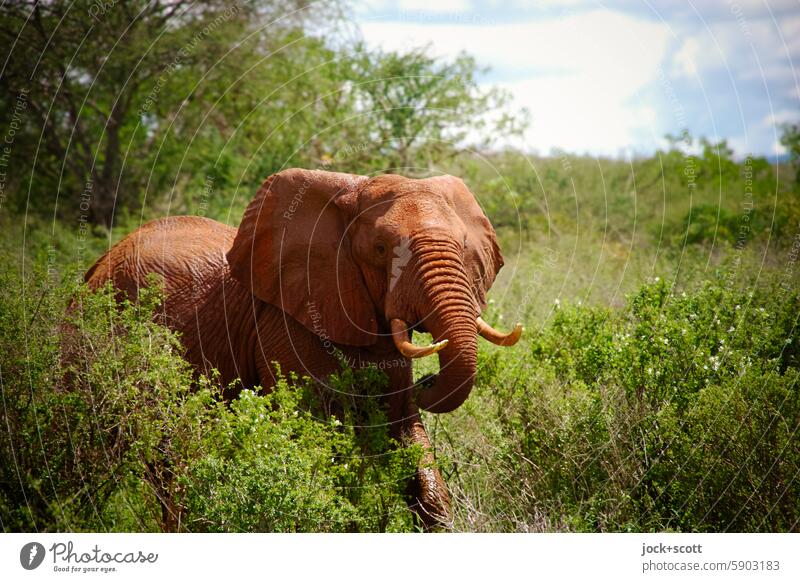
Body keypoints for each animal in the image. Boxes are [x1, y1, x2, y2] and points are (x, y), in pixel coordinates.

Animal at [84, 168, 520, 528]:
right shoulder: (285, 326)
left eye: (463, 246)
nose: (427, 382)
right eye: (380, 249)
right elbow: (319, 436)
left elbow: (404, 433)